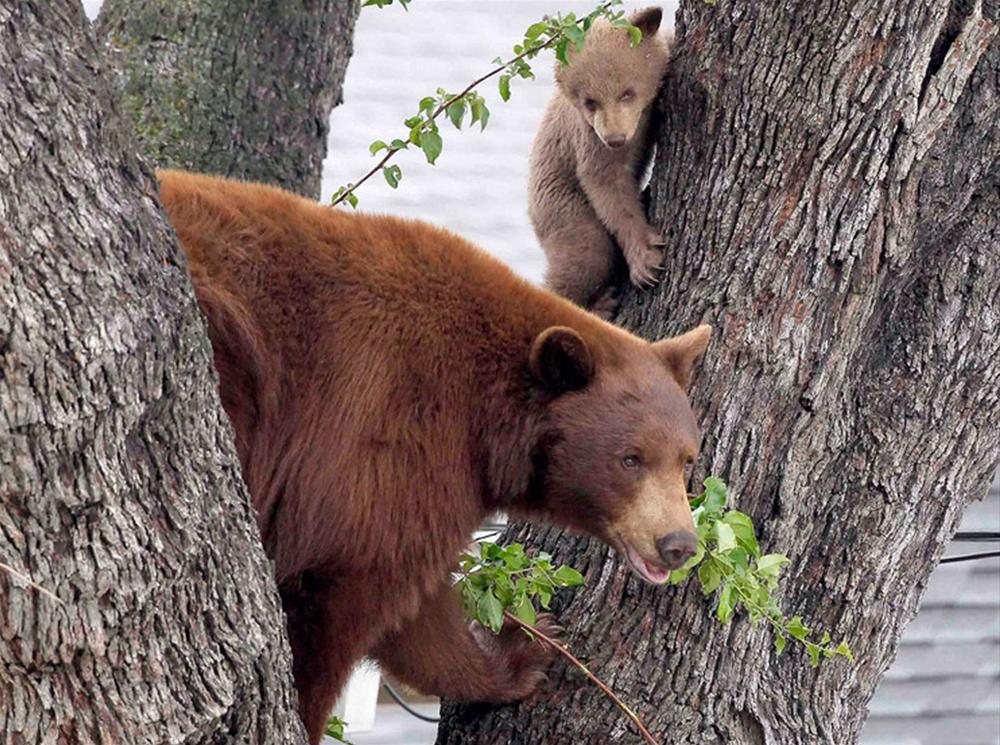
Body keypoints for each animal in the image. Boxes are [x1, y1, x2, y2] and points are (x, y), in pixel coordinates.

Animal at [158, 170, 712, 744]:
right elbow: (347, 597)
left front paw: (518, 652)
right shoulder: (388, 436)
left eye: (686, 458)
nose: (678, 543)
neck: (489, 418)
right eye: (630, 459)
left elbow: (417, 615)